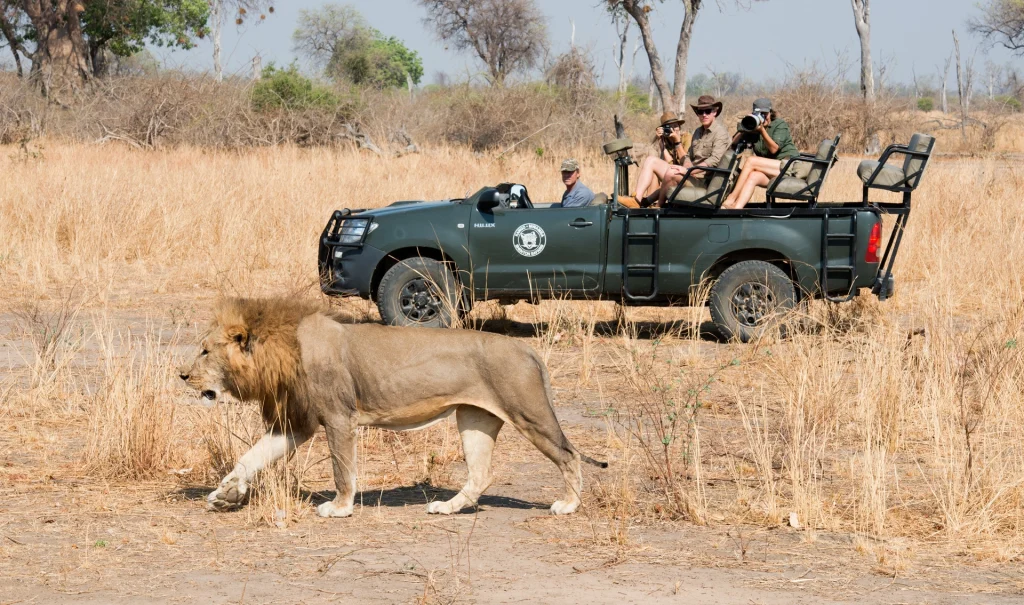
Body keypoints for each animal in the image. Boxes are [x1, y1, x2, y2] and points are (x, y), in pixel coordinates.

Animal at [178, 298, 606, 518]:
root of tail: (526, 348)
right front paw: (226, 493)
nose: (182, 375)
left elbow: (342, 470)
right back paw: (447, 508)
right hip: (474, 418)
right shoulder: (297, 423)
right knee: (481, 474)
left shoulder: (339, 417)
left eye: (205, 351)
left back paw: (569, 504)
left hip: (528, 412)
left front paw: (340, 508)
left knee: (569, 454)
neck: (282, 348)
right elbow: (251, 456)